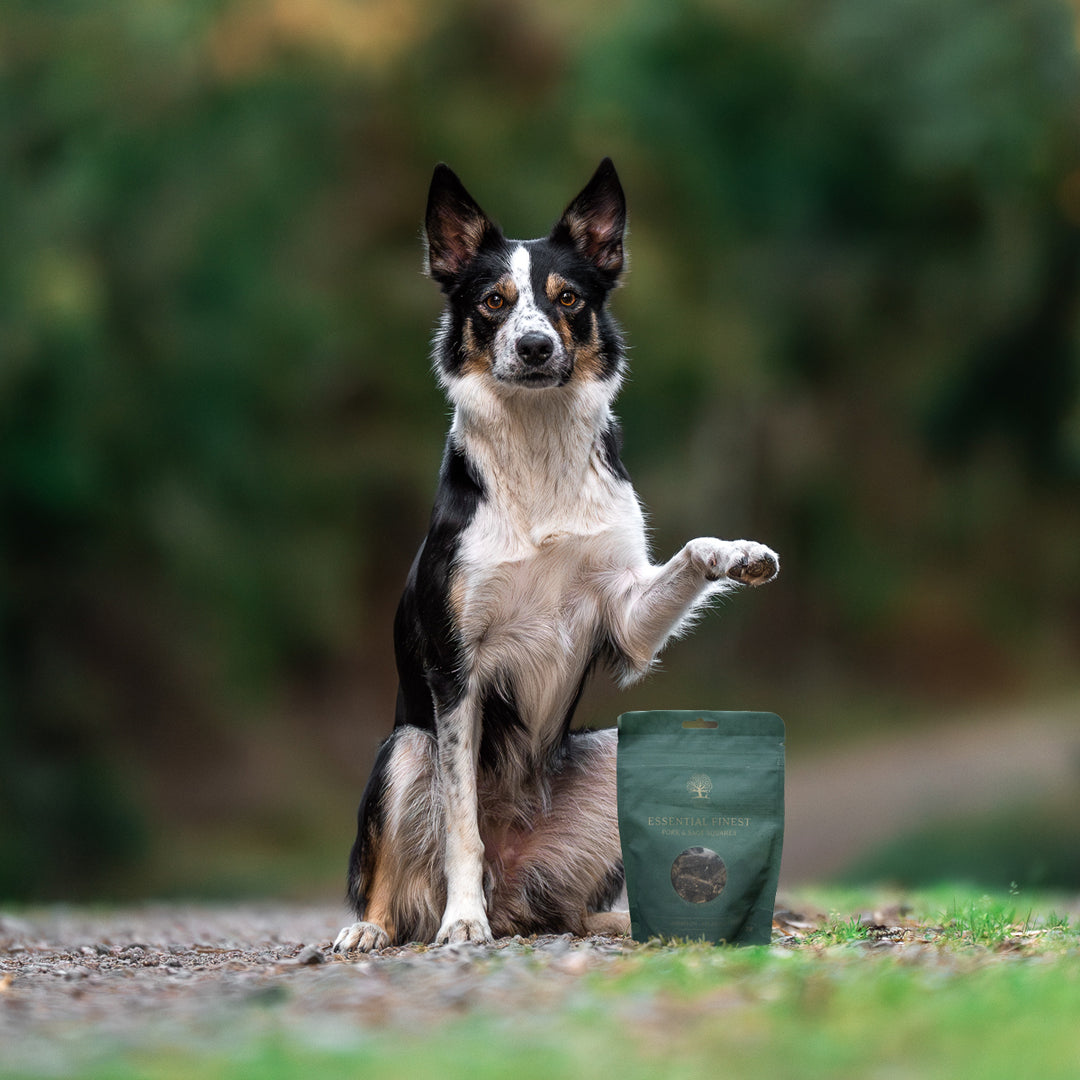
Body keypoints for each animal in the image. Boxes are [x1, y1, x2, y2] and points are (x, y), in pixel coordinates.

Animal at [330, 159, 777, 954]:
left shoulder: (624, 615)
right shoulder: (455, 673)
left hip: (613, 754)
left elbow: (690, 552)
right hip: (405, 747)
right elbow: (460, 824)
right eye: (494, 302)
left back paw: (624, 921)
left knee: (570, 909)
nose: (535, 347)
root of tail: (516, 892)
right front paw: (463, 919)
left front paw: (740, 552)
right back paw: (379, 928)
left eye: (567, 298)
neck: (538, 455)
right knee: (395, 880)